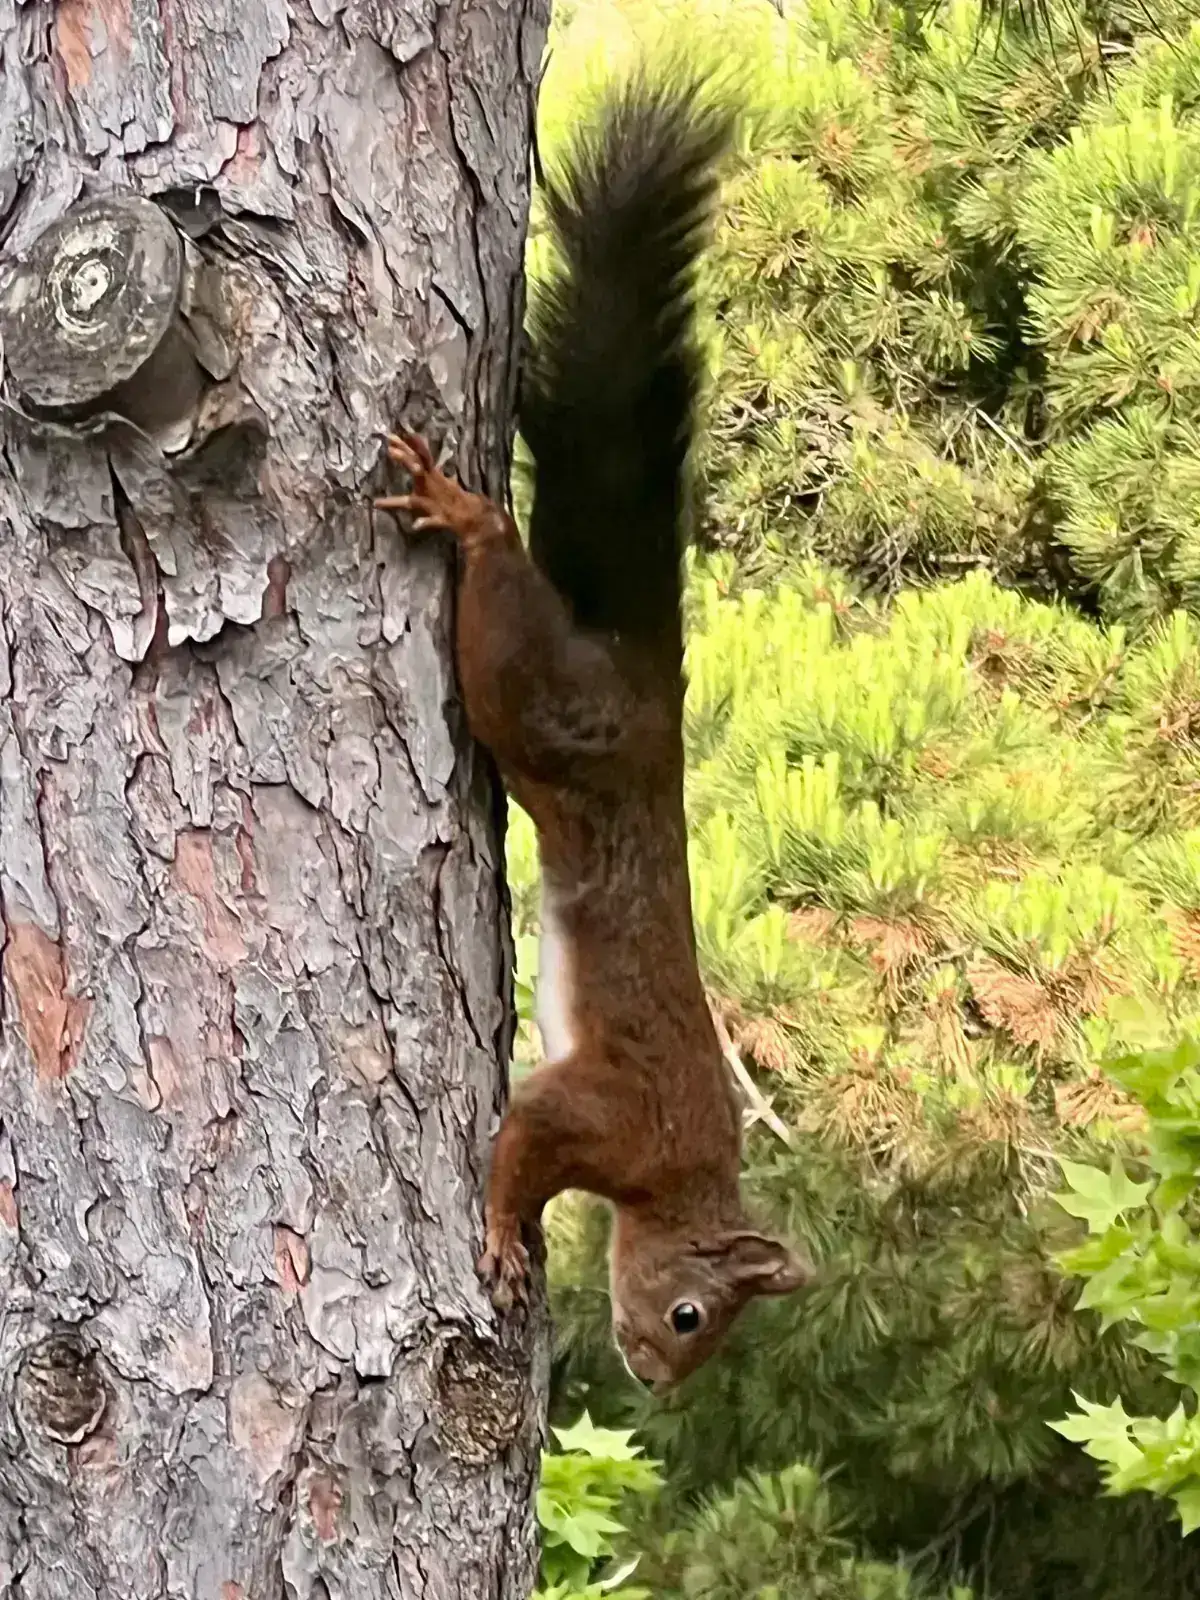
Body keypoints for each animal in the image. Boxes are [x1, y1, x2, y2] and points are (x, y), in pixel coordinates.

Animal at [375, 76, 813, 1390]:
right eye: (694, 1315)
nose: (658, 1384)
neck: (685, 1175)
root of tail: (650, 687)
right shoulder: (613, 1116)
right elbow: (523, 1145)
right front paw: (504, 1241)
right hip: (540, 700)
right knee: (496, 583)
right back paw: (467, 516)